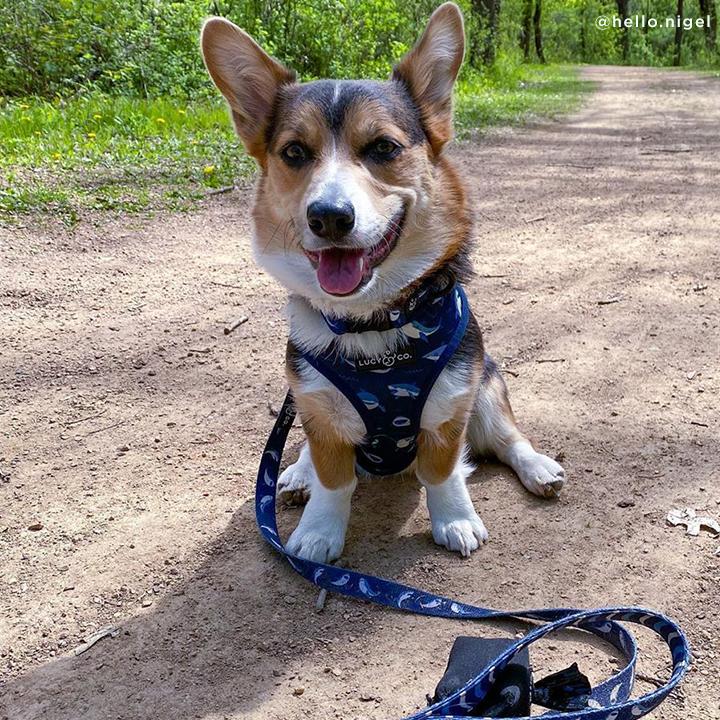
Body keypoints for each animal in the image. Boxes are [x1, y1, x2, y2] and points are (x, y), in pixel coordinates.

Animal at [200, 4, 564, 564]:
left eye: (383, 147)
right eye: (294, 153)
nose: (329, 216)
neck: (372, 324)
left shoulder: (452, 402)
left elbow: (442, 471)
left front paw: (455, 520)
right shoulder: (318, 407)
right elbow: (334, 480)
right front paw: (319, 531)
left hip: (486, 386)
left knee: (508, 437)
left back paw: (538, 467)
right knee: (306, 451)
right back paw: (297, 474)